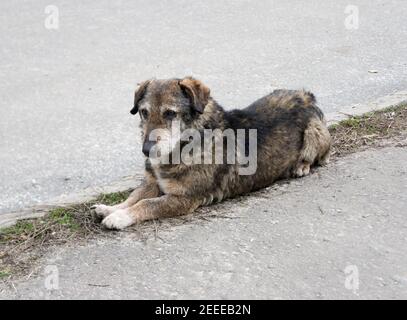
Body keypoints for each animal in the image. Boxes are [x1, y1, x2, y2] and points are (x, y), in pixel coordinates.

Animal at [94, 76, 334, 229]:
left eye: (170, 113)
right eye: (144, 112)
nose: (146, 150)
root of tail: (306, 95)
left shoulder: (184, 198)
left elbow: (147, 204)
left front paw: (119, 217)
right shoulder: (153, 184)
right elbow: (134, 196)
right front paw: (110, 208)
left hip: (315, 132)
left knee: (320, 156)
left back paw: (301, 166)